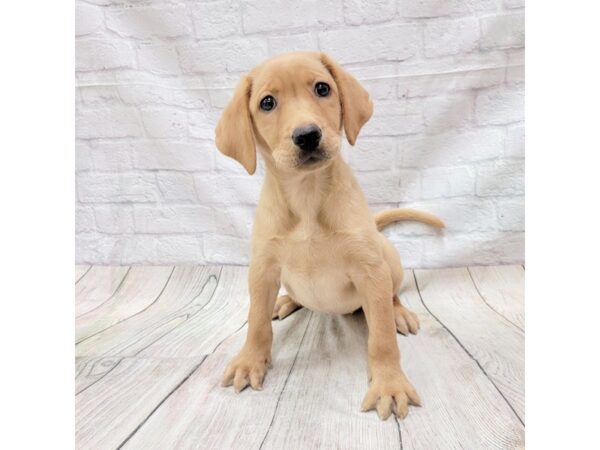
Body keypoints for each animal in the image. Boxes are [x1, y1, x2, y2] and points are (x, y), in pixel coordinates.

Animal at [217, 52, 446, 422]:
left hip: (388, 260)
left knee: (392, 295)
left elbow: (382, 338)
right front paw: (250, 360)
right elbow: (256, 323)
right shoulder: (262, 269)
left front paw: (389, 383)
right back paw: (286, 301)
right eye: (267, 102)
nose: (308, 135)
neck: (307, 195)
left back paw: (398, 312)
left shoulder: (370, 271)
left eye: (322, 88)